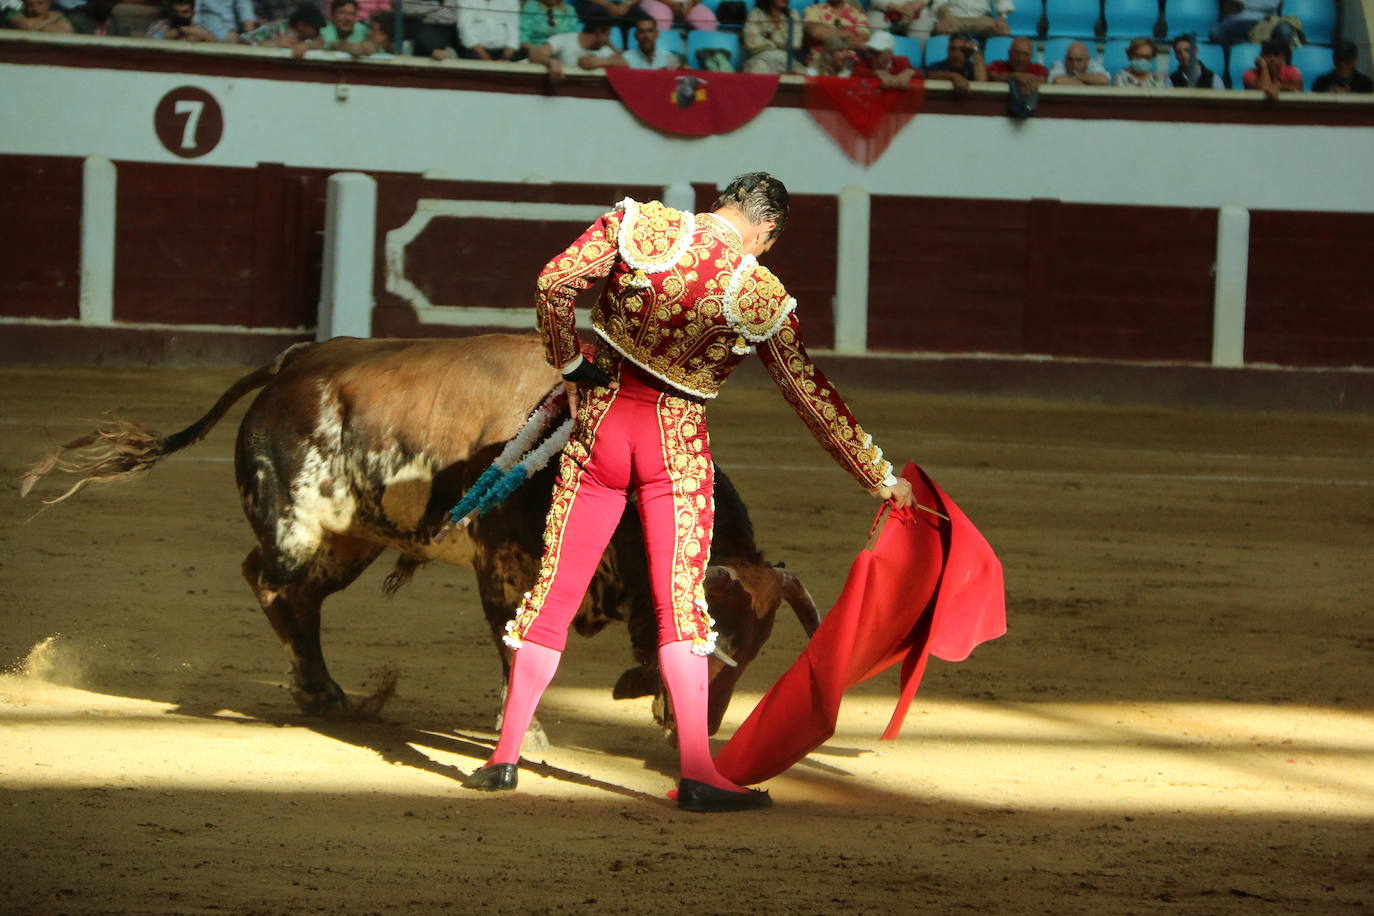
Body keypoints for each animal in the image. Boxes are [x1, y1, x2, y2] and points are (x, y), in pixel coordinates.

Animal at [24, 333, 813, 747]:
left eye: (758, 654)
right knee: (271, 578)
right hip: (300, 526)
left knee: (296, 595)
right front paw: (526, 734)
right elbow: (516, 645)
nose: (698, 730)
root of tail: (296, 360)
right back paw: (318, 691)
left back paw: (331, 695)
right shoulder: (505, 568)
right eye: (714, 641)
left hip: (352, 538)